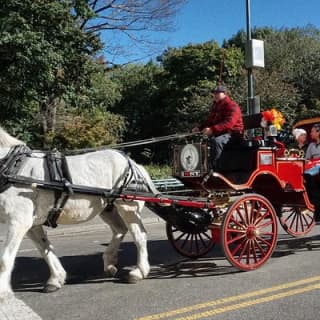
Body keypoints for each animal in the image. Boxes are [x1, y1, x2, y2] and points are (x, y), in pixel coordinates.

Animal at [0, 127, 159, 296]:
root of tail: (135, 165)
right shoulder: (32, 224)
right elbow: (44, 248)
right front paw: (56, 279)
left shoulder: (19, 221)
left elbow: (5, 259)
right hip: (107, 209)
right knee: (119, 230)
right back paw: (109, 263)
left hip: (128, 207)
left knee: (139, 235)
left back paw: (138, 272)